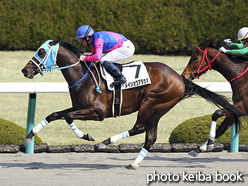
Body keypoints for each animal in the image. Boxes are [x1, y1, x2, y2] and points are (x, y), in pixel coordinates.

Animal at [21, 38, 246, 169]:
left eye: (41, 52)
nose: (25, 70)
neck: (83, 75)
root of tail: (180, 78)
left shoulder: (97, 112)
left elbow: (67, 117)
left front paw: (87, 136)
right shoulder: (79, 107)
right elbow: (53, 115)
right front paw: (30, 135)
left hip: (150, 102)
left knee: (139, 127)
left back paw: (105, 142)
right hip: (159, 108)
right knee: (150, 136)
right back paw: (134, 162)